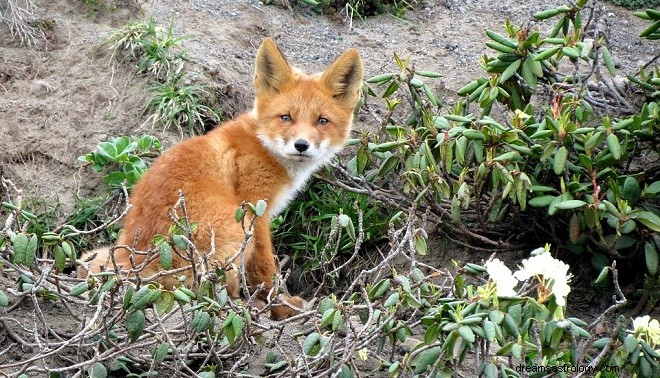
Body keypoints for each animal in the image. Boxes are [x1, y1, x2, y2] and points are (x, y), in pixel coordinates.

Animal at [80, 39, 366, 318]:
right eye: (286, 117)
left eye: (322, 121)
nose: (301, 145)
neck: (263, 145)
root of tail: (142, 261)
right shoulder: (255, 211)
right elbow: (265, 267)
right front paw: (280, 305)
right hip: (235, 230)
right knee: (208, 291)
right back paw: (245, 306)